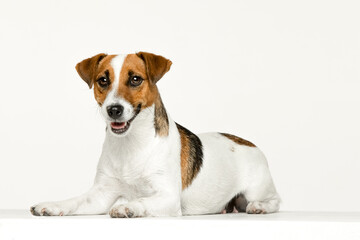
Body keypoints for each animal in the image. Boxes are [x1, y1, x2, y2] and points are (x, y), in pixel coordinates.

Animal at [30, 52, 278, 218]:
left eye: (135, 79)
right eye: (103, 80)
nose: (113, 109)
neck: (130, 144)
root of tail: (247, 142)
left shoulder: (168, 197)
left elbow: (141, 199)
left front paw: (128, 206)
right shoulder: (101, 194)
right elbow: (74, 201)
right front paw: (52, 205)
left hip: (257, 188)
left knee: (275, 200)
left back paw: (260, 207)